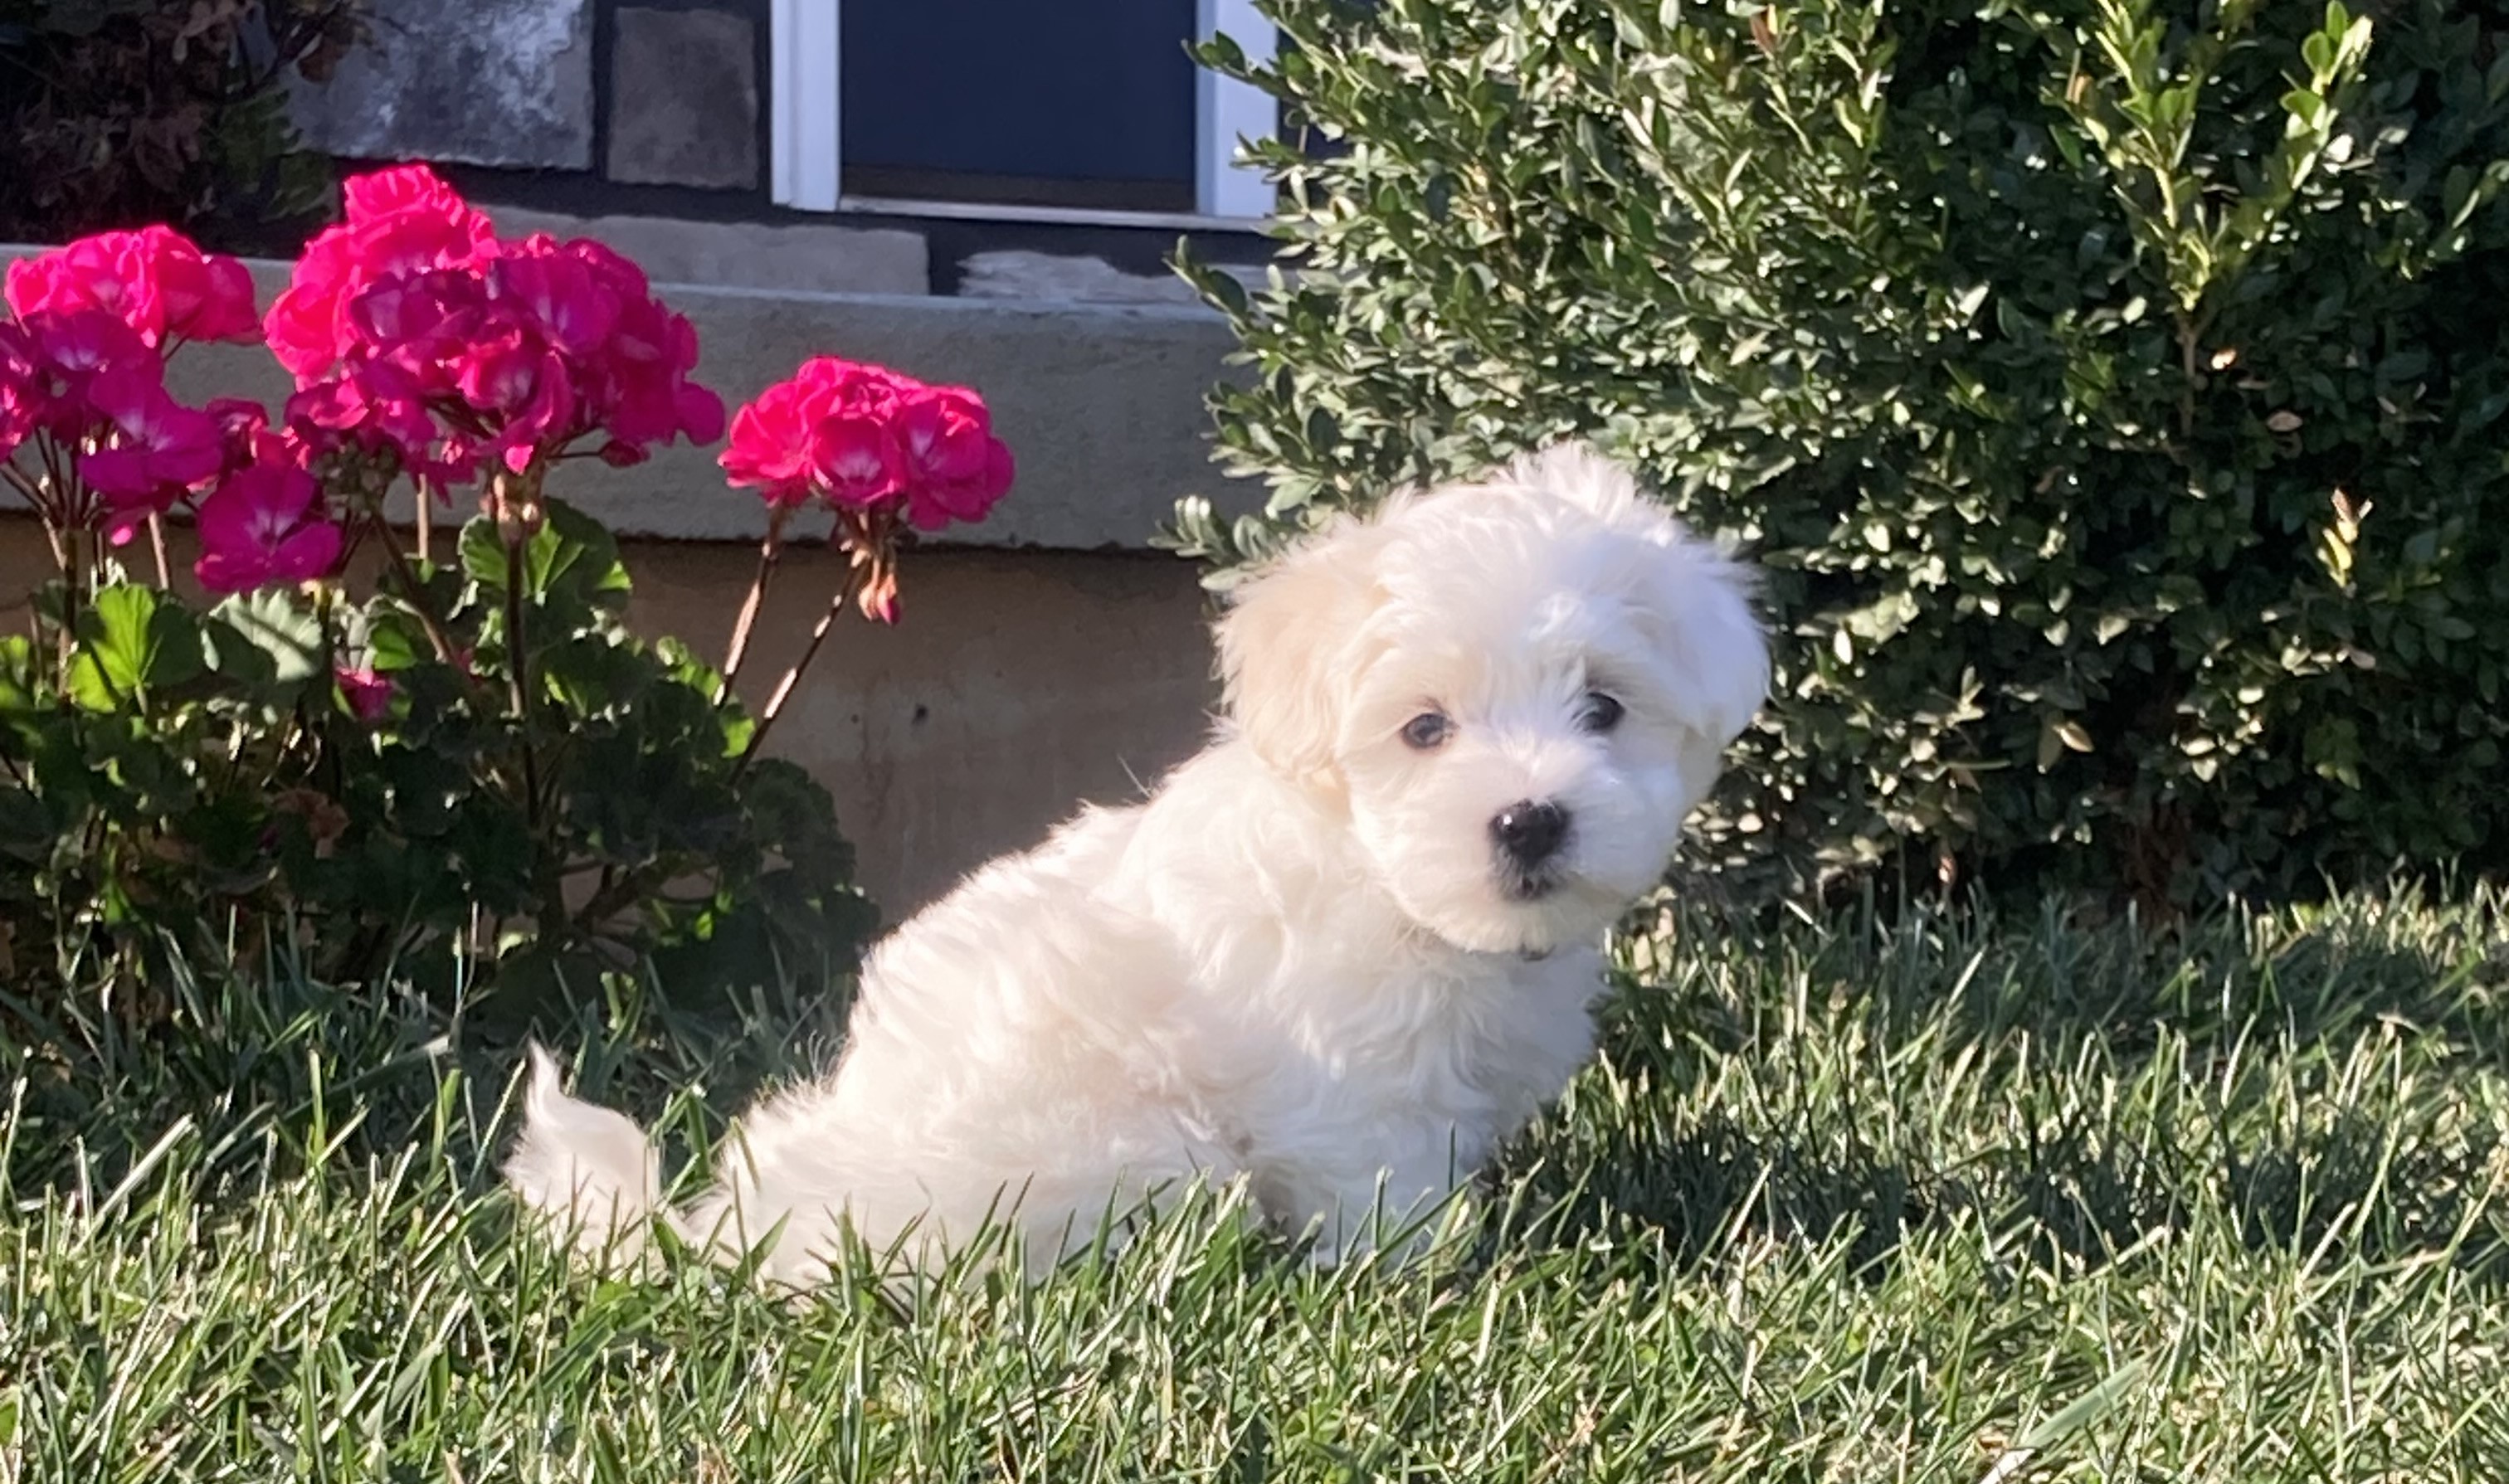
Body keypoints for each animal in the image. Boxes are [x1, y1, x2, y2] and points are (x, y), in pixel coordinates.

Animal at [509, 440, 1766, 1283]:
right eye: (1423, 730)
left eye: (1604, 707)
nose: (1530, 819)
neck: (1390, 887)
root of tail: (748, 1227)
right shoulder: (1349, 1096)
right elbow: (1381, 1202)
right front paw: (1425, 1282)